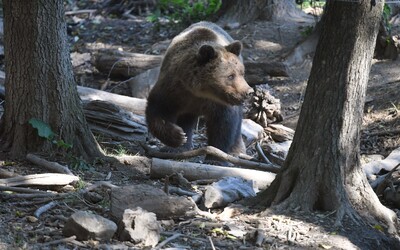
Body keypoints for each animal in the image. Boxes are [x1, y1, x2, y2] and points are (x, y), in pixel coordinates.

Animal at [147, 22, 252, 162]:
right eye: (230, 75)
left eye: (242, 73)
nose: (248, 91)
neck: (199, 91)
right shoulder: (173, 90)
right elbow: (157, 110)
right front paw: (178, 137)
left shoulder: (219, 104)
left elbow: (223, 124)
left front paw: (215, 157)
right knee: (185, 119)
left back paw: (237, 150)